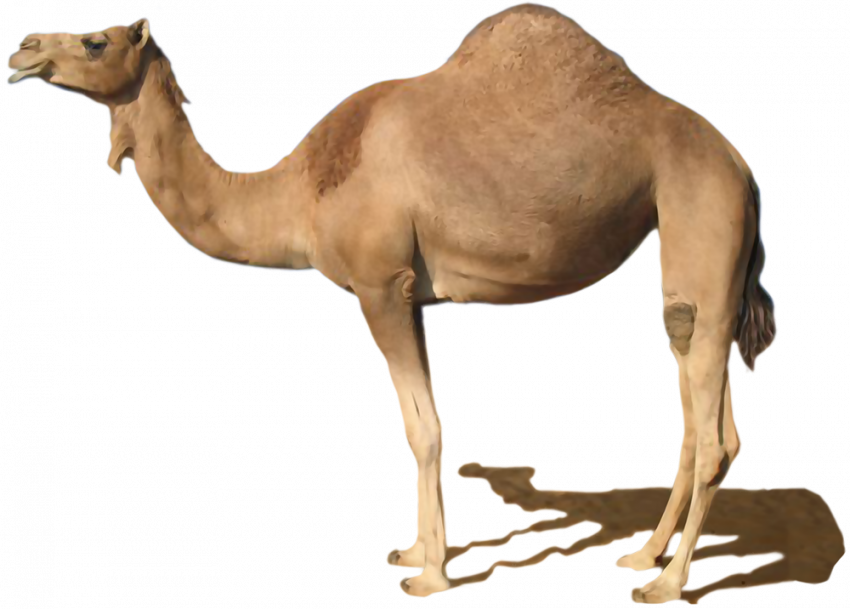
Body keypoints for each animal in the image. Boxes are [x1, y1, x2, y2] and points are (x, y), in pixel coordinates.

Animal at [5, 2, 778, 604]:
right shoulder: (413, 295)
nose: (21, 52)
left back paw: (666, 583)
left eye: (95, 41)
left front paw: (429, 573)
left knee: (710, 428)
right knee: (705, 411)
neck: (297, 191)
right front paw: (416, 553)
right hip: (698, 264)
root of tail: (743, 167)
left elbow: (422, 428)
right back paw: (643, 554)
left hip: (698, 217)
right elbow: (422, 422)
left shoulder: (380, 285)